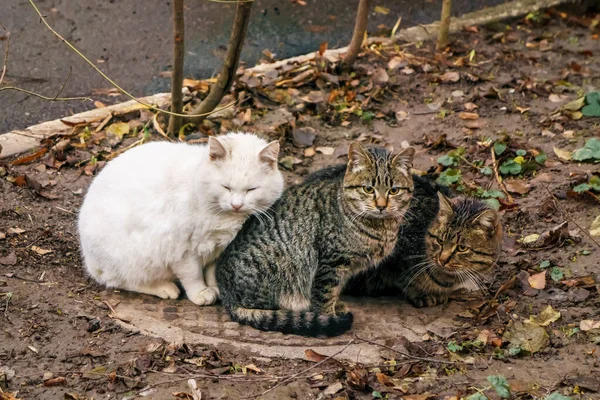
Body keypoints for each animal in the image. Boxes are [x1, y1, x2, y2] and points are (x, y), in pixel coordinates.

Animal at [78, 133, 284, 304]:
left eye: (251, 189)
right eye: (226, 187)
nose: (236, 205)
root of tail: (88, 260)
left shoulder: (218, 248)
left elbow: (211, 270)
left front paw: (214, 286)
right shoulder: (182, 251)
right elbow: (193, 275)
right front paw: (201, 293)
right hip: (135, 258)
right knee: (121, 281)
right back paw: (164, 288)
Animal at [217, 142, 418, 336]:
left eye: (394, 190)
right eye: (368, 189)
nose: (381, 206)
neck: (380, 227)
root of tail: (227, 298)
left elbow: (335, 291)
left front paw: (336, 305)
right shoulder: (331, 263)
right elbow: (325, 294)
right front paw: (328, 316)